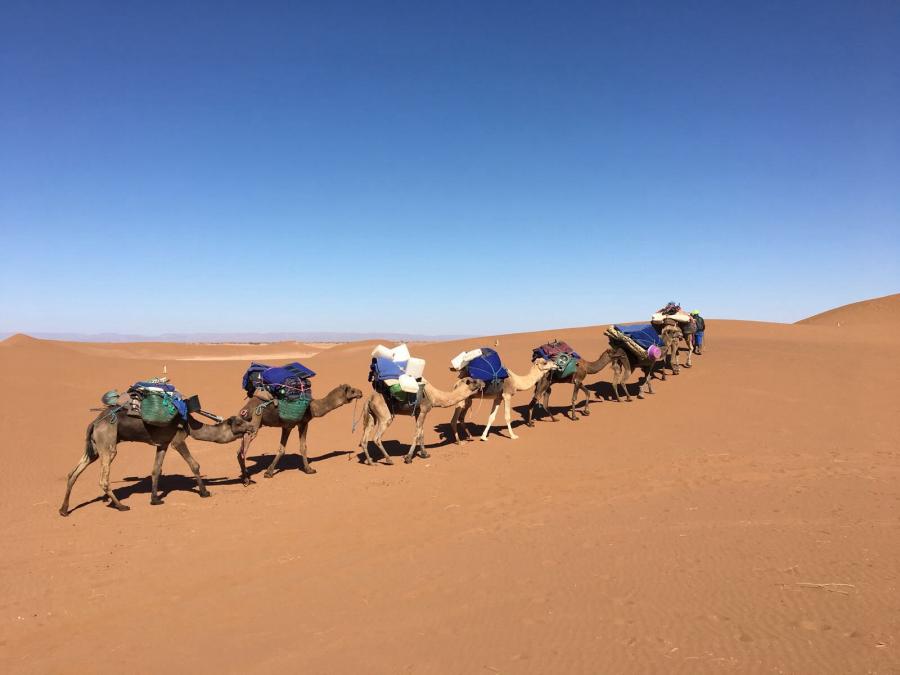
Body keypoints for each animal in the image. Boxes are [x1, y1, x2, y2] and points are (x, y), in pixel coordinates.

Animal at [60, 410, 251, 516]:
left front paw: (155, 499)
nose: (251, 427)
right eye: (239, 422)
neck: (191, 425)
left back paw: (64, 510)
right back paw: (121, 506)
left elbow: (156, 469)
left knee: (73, 473)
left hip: (94, 447)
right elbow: (194, 464)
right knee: (103, 478)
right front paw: (204, 492)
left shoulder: (163, 444)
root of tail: (94, 423)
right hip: (107, 441)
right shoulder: (177, 441)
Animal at [358, 374, 486, 464]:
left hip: (371, 416)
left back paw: (370, 462)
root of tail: (368, 399)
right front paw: (408, 458)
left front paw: (424, 454)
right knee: (376, 438)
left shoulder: (418, 413)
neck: (434, 396)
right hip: (384, 415)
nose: (483, 382)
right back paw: (389, 460)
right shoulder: (424, 410)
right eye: (474, 381)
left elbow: (421, 433)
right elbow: (416, 434)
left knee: (364, 439)